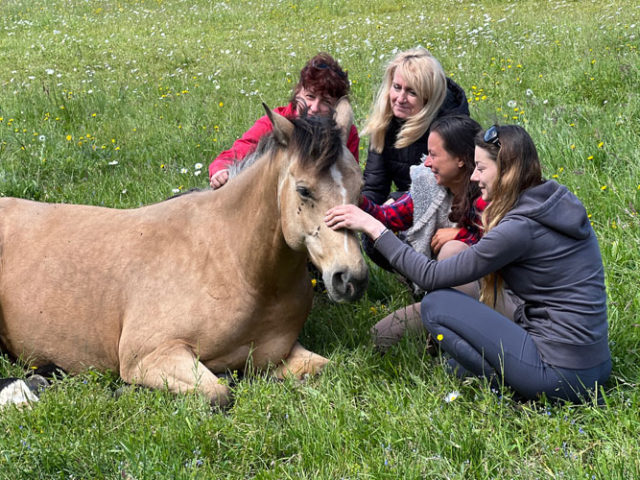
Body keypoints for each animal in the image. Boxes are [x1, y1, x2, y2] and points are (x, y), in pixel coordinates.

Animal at [0, 99, 368, 406]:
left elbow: (326, 367)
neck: (237, 266)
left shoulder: (281, 353)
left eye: (359, 186)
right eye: (303, 190)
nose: (350, 278)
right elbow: (219, 393)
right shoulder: (152, 356)